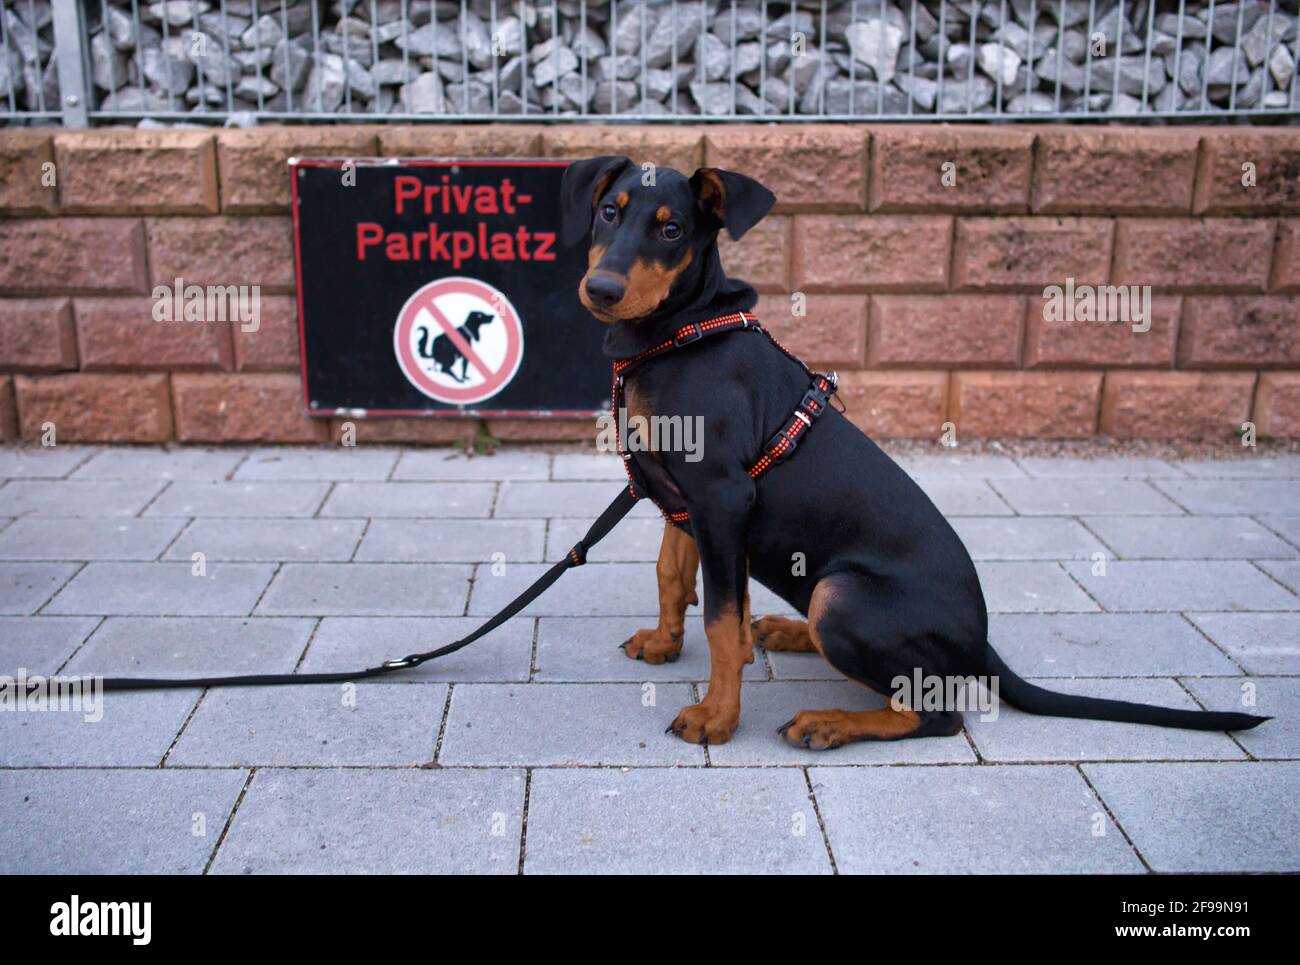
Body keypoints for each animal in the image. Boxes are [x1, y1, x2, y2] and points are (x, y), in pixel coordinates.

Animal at [561, 154, 1268, 754]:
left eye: (672, 228)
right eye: (609, 212)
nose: (601, 289)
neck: (676, 334)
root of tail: (980, 645)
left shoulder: (722, 496)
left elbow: (722, 621)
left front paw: (717, 716)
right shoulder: (682, 498)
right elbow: (673, 576)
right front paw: (664, 643)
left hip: (841, 595)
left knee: (939, 714)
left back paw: (828, 722)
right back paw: (790, 633)